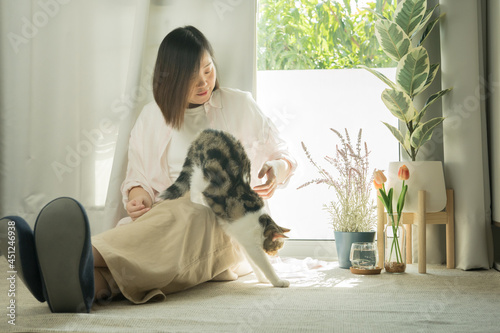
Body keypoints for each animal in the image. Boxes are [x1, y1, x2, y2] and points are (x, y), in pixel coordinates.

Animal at [161, 128, 290, 286]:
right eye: (277, 246)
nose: (275, 254)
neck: (261, 223)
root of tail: (208, 131)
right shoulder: (252, 246)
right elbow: (265, 265)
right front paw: (278, 281)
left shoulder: (244, 243)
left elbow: (254, 265)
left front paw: (262, 279)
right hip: (203, 176)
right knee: (194, 188)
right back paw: (200, 203)